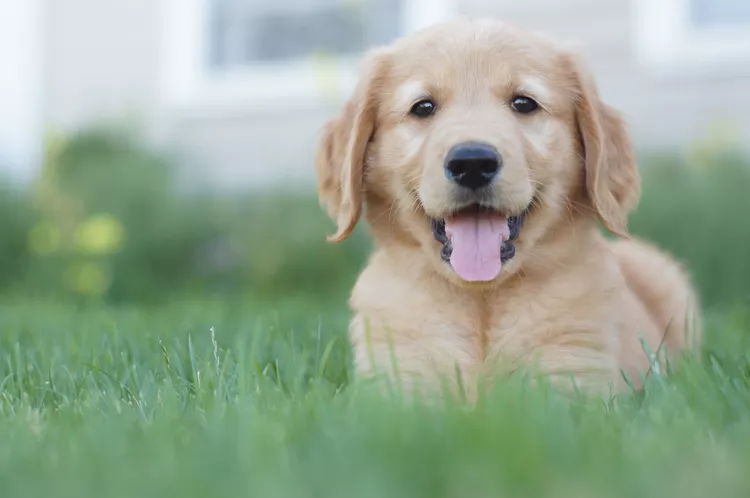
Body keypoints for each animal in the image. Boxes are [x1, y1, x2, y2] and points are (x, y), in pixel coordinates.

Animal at [314, 17, 704, 396]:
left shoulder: (572, 379)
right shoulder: (397, 384)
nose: (472, 163)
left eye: (524, 103)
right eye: (423, 107)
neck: (481, 298)